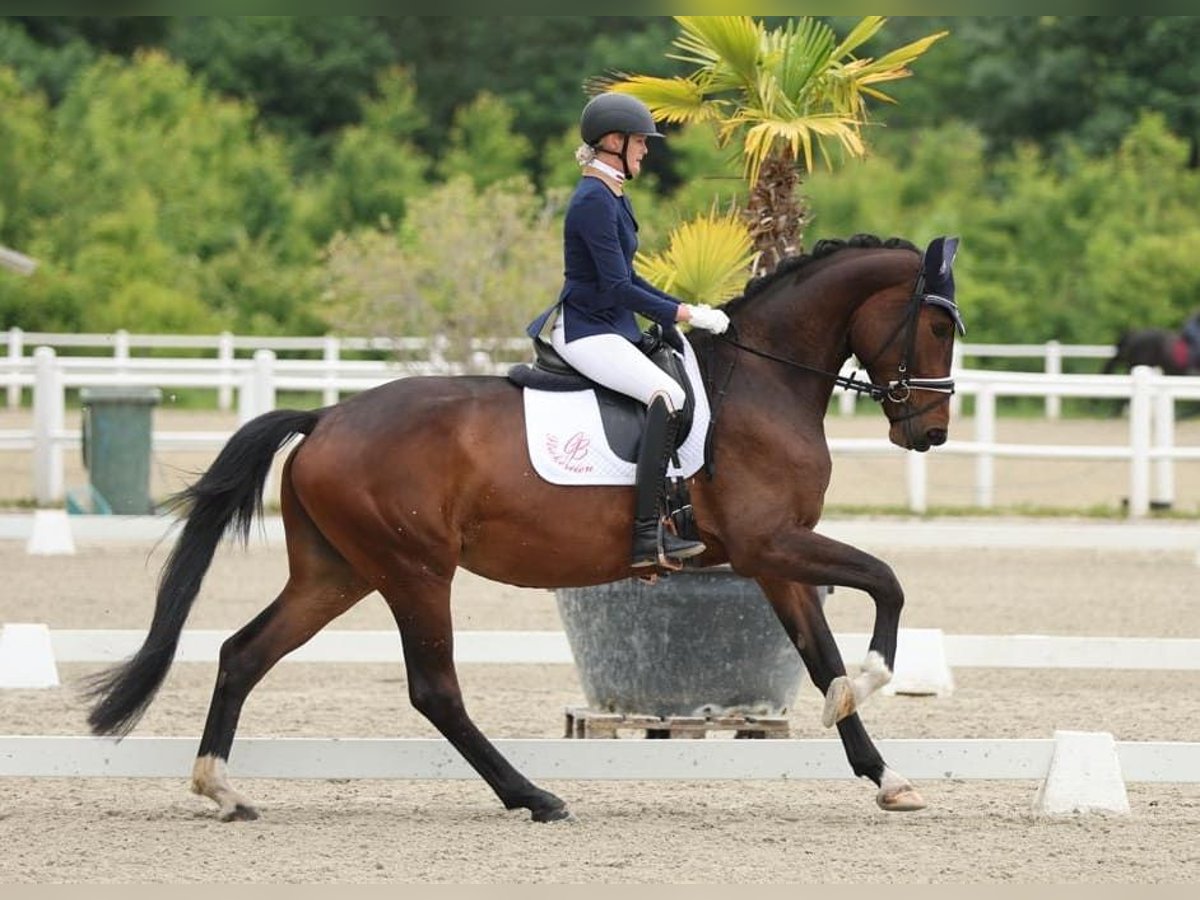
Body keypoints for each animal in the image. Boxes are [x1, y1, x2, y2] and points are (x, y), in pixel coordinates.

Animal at [84, 230, 964, 825]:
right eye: (937, 327)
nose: (929, 433)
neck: (764, 381)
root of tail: (326, 416)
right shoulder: (769, 544)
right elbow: (887, 583)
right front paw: (876, 677)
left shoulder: (776, 560)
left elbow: (821, 660)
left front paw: (886, 776)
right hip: (413, 571)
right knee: (435, 690)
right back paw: (535, 796)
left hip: (338, 572)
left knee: (244, 653)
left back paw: (221, 788)